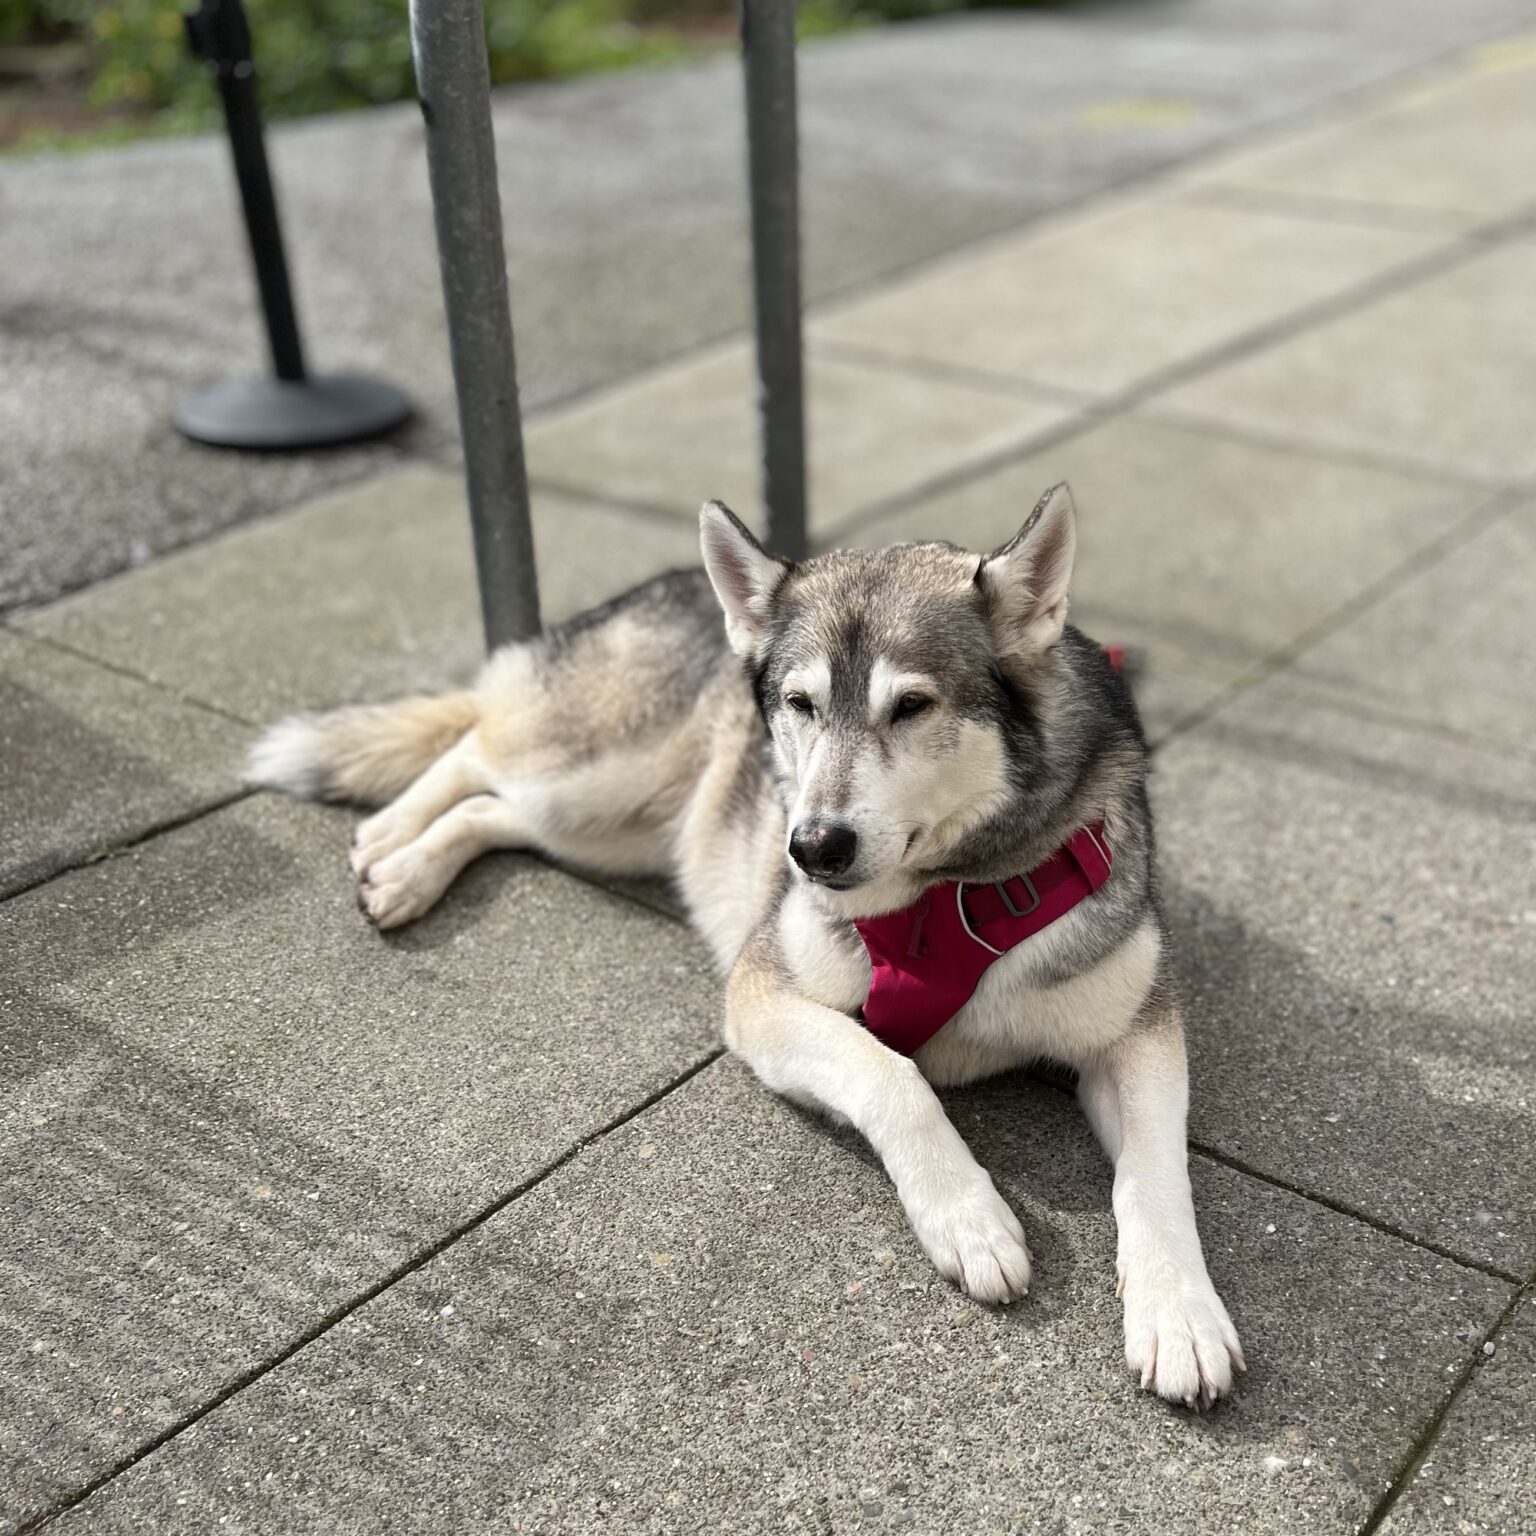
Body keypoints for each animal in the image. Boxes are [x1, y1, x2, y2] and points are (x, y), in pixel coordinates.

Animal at [245, 488, 1241, 1406]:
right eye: (800, 704)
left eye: (912, 706)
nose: (812, 848)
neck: (954, 894)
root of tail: (662, 581)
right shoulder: (763, 990)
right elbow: (891, 1072)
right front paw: (968, 1216)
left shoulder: (1138, 1031)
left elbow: (1156, 1174)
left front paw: (1178, 1313)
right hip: (600, 774)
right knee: (474, 751)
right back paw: (393, 843)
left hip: (617, 828)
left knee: (495, 809)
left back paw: (409, 863)